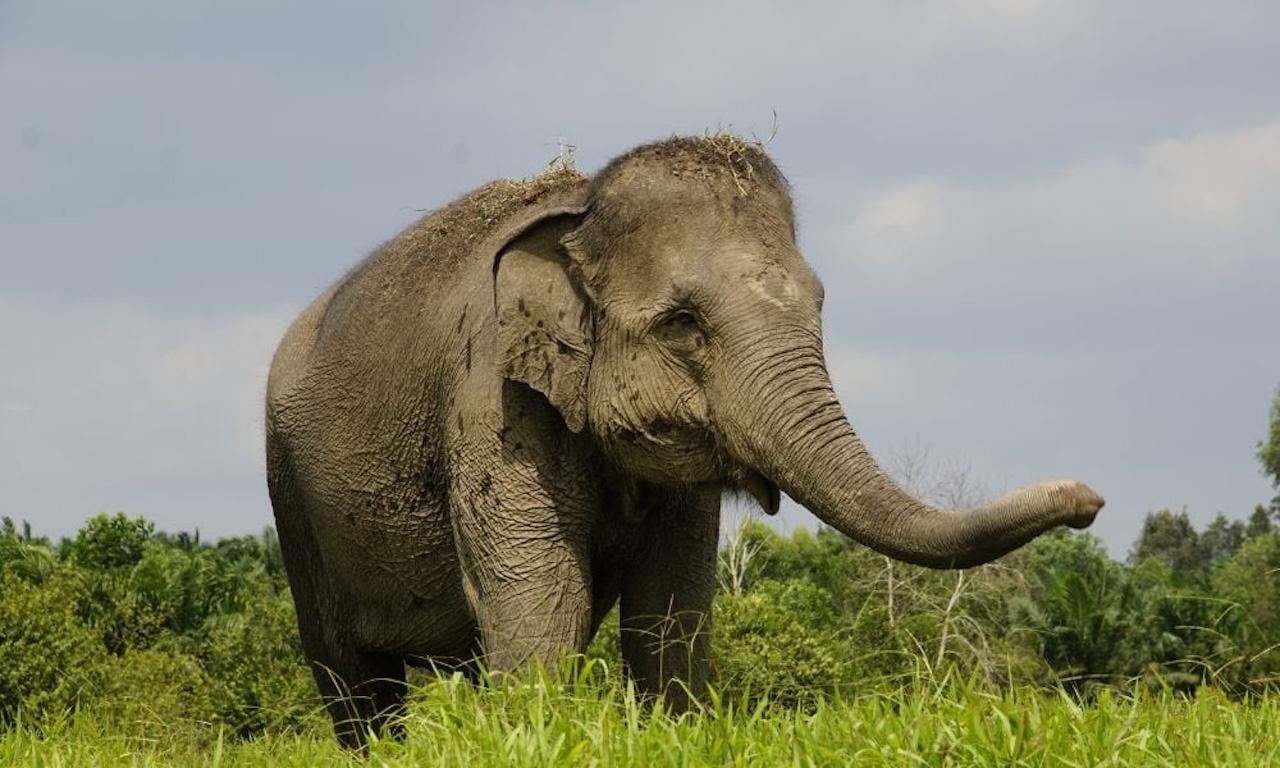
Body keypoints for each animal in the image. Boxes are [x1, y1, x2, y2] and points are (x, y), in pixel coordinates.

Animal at [264, 134, 1104, 748]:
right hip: (292, 495)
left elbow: (669, 609)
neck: (578, 212)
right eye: (682, 324)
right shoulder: (490, 403)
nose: (1089, 498)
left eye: (820, 304)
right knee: (353, 680)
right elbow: (542, 601)